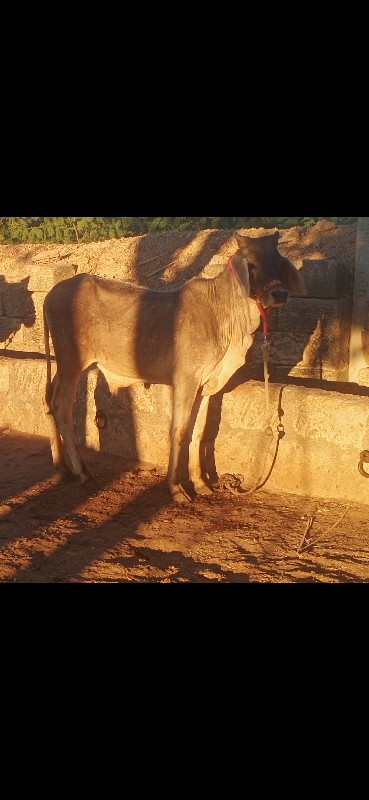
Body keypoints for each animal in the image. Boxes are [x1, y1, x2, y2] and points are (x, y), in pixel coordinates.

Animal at [43, 231, 306, 504]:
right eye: (251, 264)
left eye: (277, 263)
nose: (280, 294)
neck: (226, 317)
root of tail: (52, 293)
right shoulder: (185, 381)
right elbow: (178, 431)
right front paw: (176, 488)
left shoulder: (206, 386)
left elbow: (199, 432)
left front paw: (201, 483)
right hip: (71, 364)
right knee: (61, 408)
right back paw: (82, 471)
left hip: (64, 367)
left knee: (48, 401)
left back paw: (62, 465)